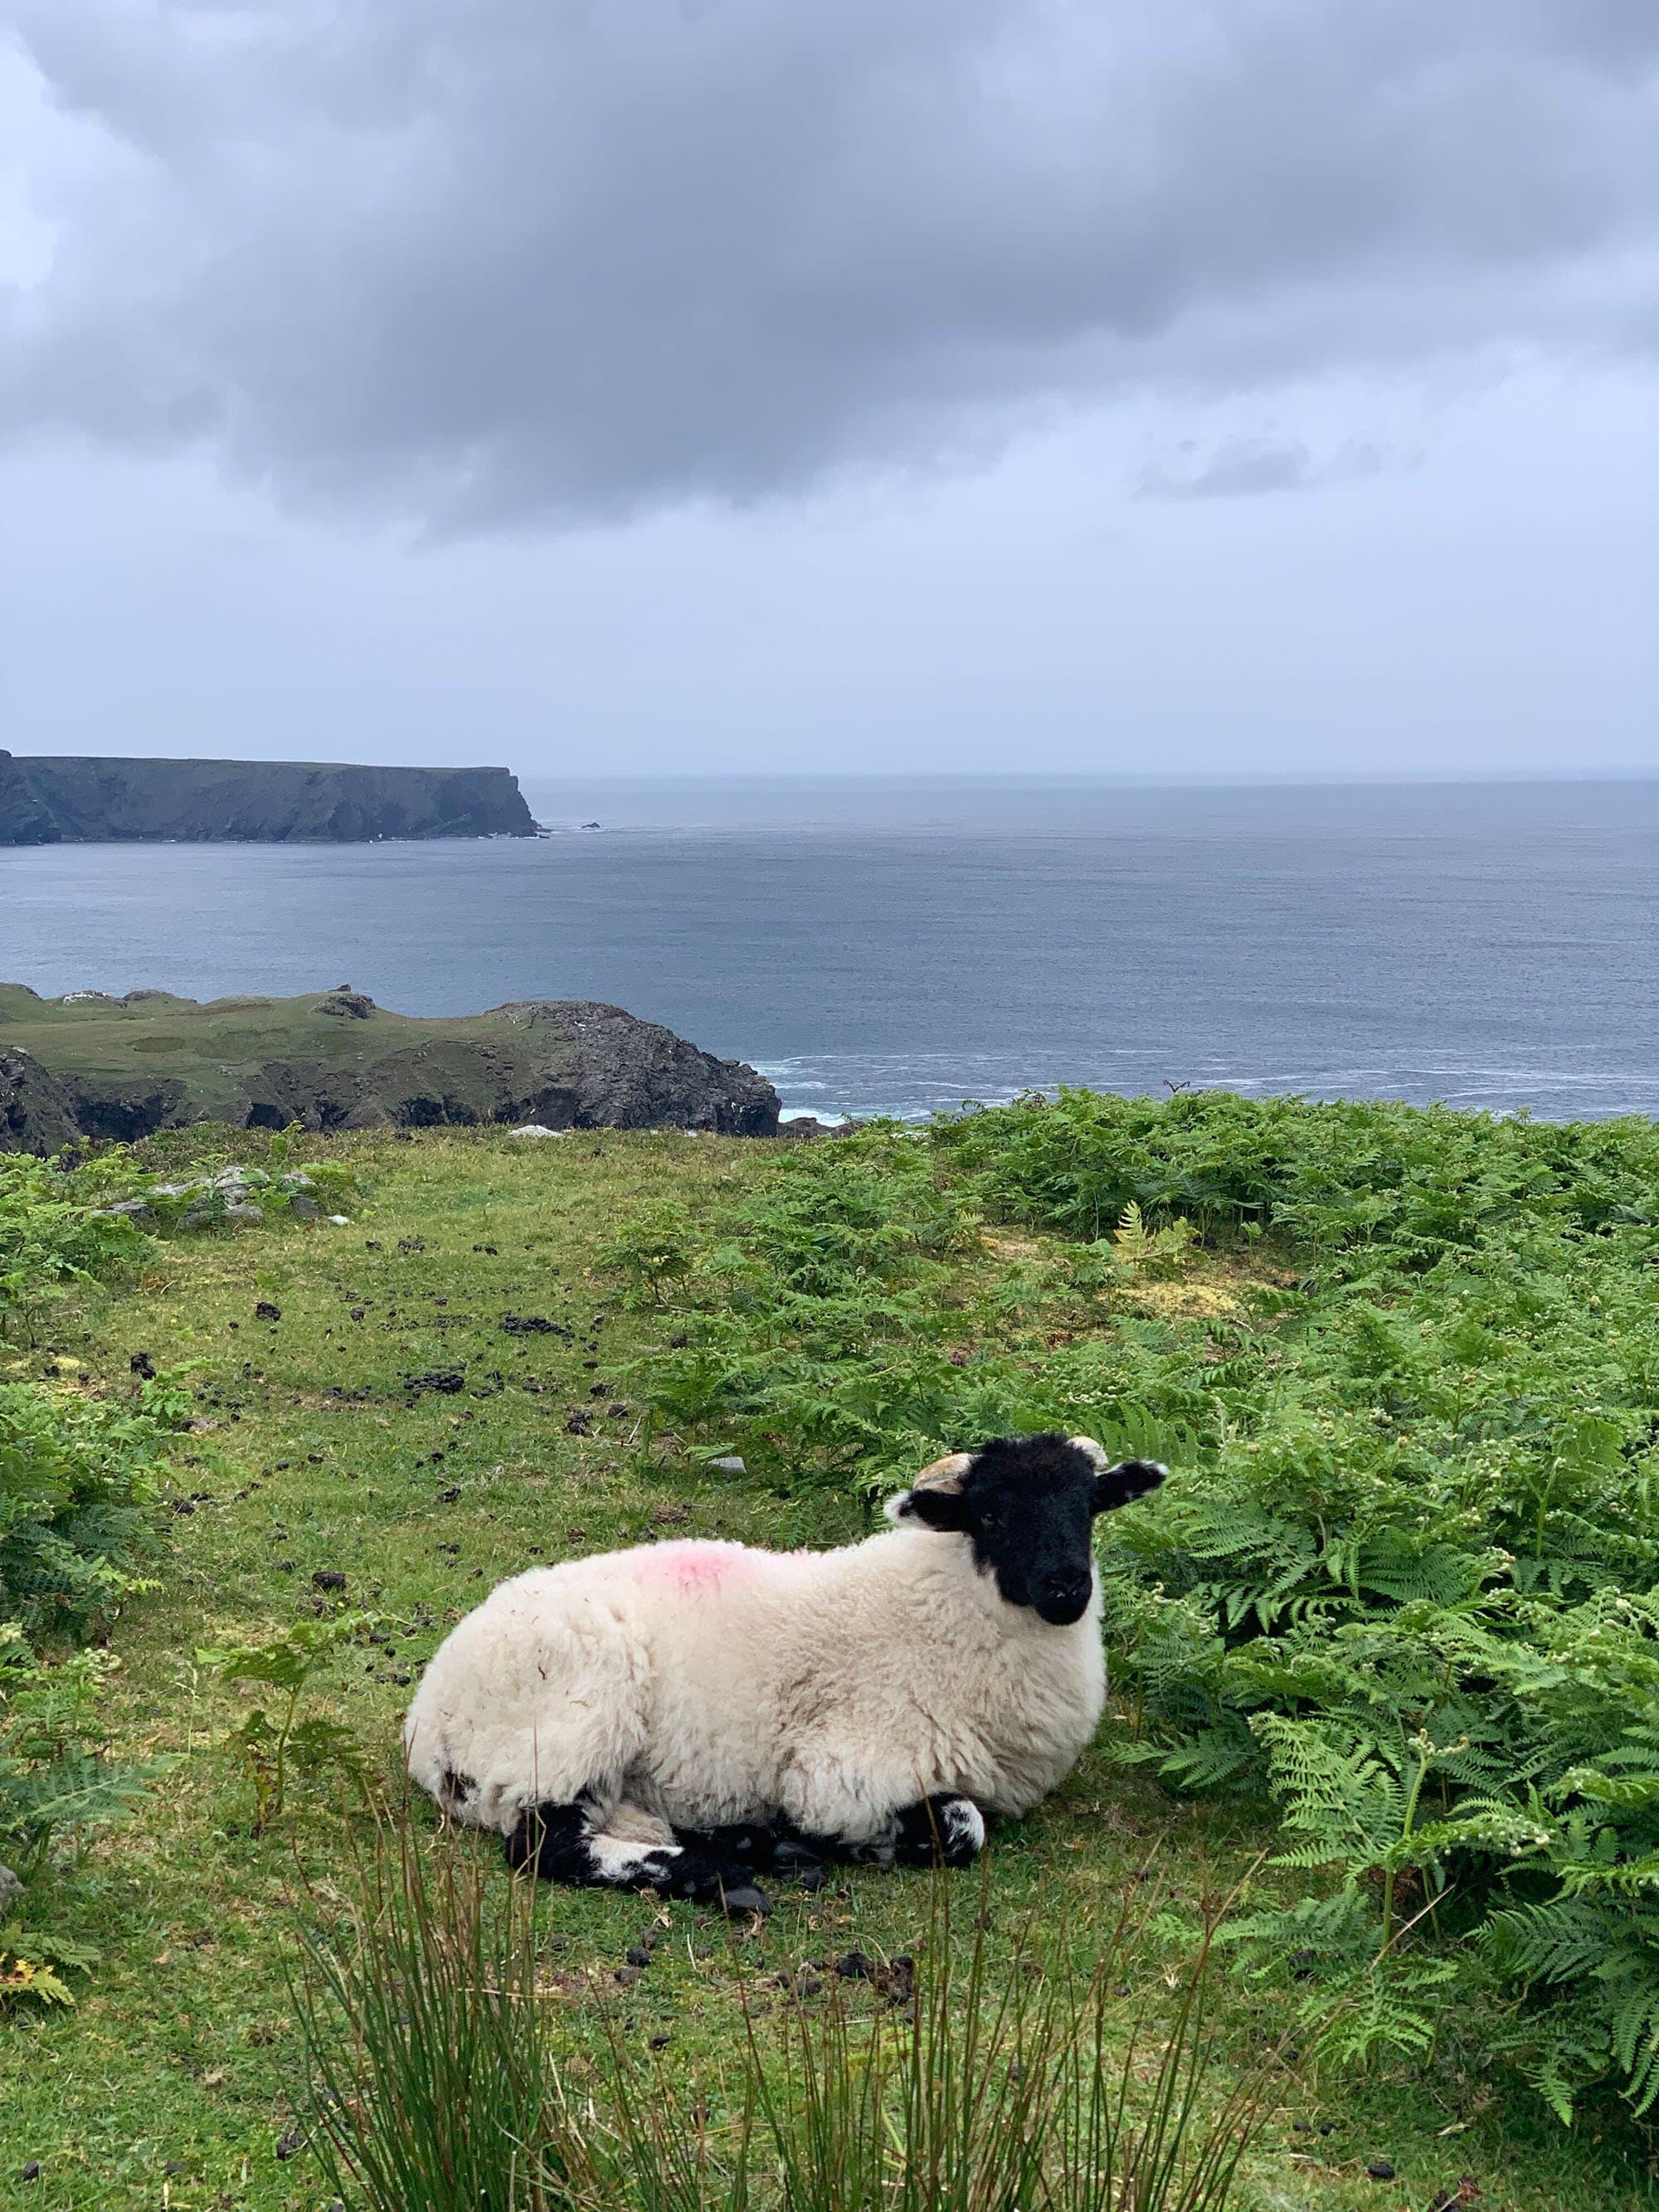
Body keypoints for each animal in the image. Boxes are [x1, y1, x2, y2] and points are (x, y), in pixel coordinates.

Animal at [404, 1432, 1165, 1913]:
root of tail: (426, 1724)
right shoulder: (840, 1770)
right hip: (570, 1723)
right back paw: (721, 1876)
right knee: (542, 1847)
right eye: (989, 1513)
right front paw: (865, 1845)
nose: (1066, 1587)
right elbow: (963, 1825)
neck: (943, 1608)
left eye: (1089, 1505)